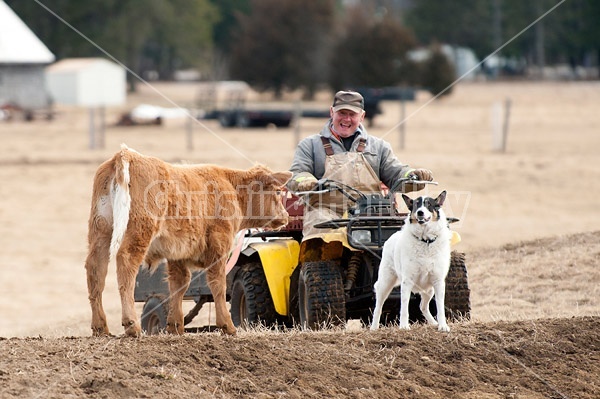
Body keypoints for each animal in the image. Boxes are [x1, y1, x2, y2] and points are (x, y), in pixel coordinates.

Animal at [84, 145, 290, 338]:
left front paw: (175, 326)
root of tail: (127, 155)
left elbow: (179, 284)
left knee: (96, 270)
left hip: (100, 232)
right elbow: (218, 283)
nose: (286, 216)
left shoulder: (178, 253)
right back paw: (131, 324)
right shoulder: (219, 245)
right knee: (126, 263)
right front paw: (227, 325)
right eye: (278, 192)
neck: (230, 186)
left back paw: (100, 327)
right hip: (139, 231)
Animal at [370, 192, 450, 332]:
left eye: (429, 204)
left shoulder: (438, 282)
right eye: (416, 205)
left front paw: (443, 325)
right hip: (386, 283)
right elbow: (404, 307)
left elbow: (440, 307)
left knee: (423, 306)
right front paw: (403, 326)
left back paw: (433, 323)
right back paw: (374, 328)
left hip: (429, 290)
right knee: (378, 306)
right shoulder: (407, 281)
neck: (425, 241)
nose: (420, 212)